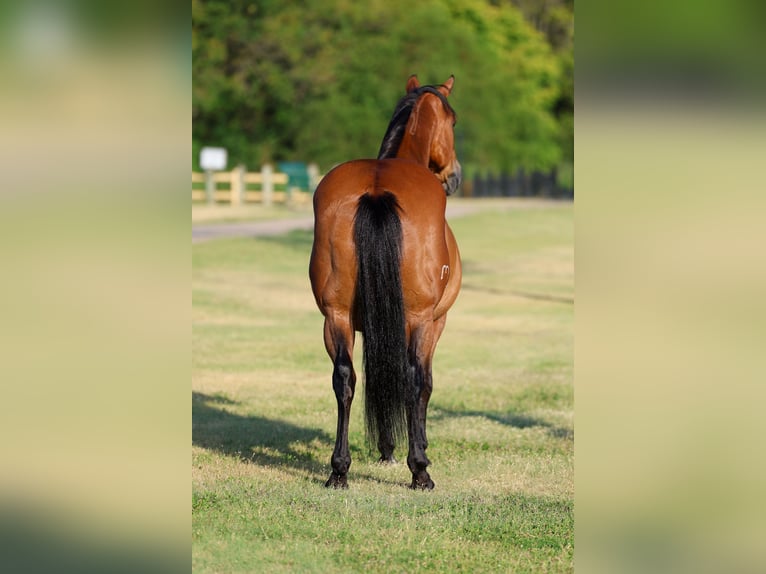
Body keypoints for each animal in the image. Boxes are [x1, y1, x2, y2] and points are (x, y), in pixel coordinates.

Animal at [309, 75, 462, 490]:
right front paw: (412, 452)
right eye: (453, 122)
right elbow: (421, 382)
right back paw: (420, 472)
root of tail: (376, 191)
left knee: (344, 379)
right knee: (413, 380)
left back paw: (339, 470)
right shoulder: (434, 322)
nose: (455, 175)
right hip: (419, 319)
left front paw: (386, 449)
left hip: (336, 318)